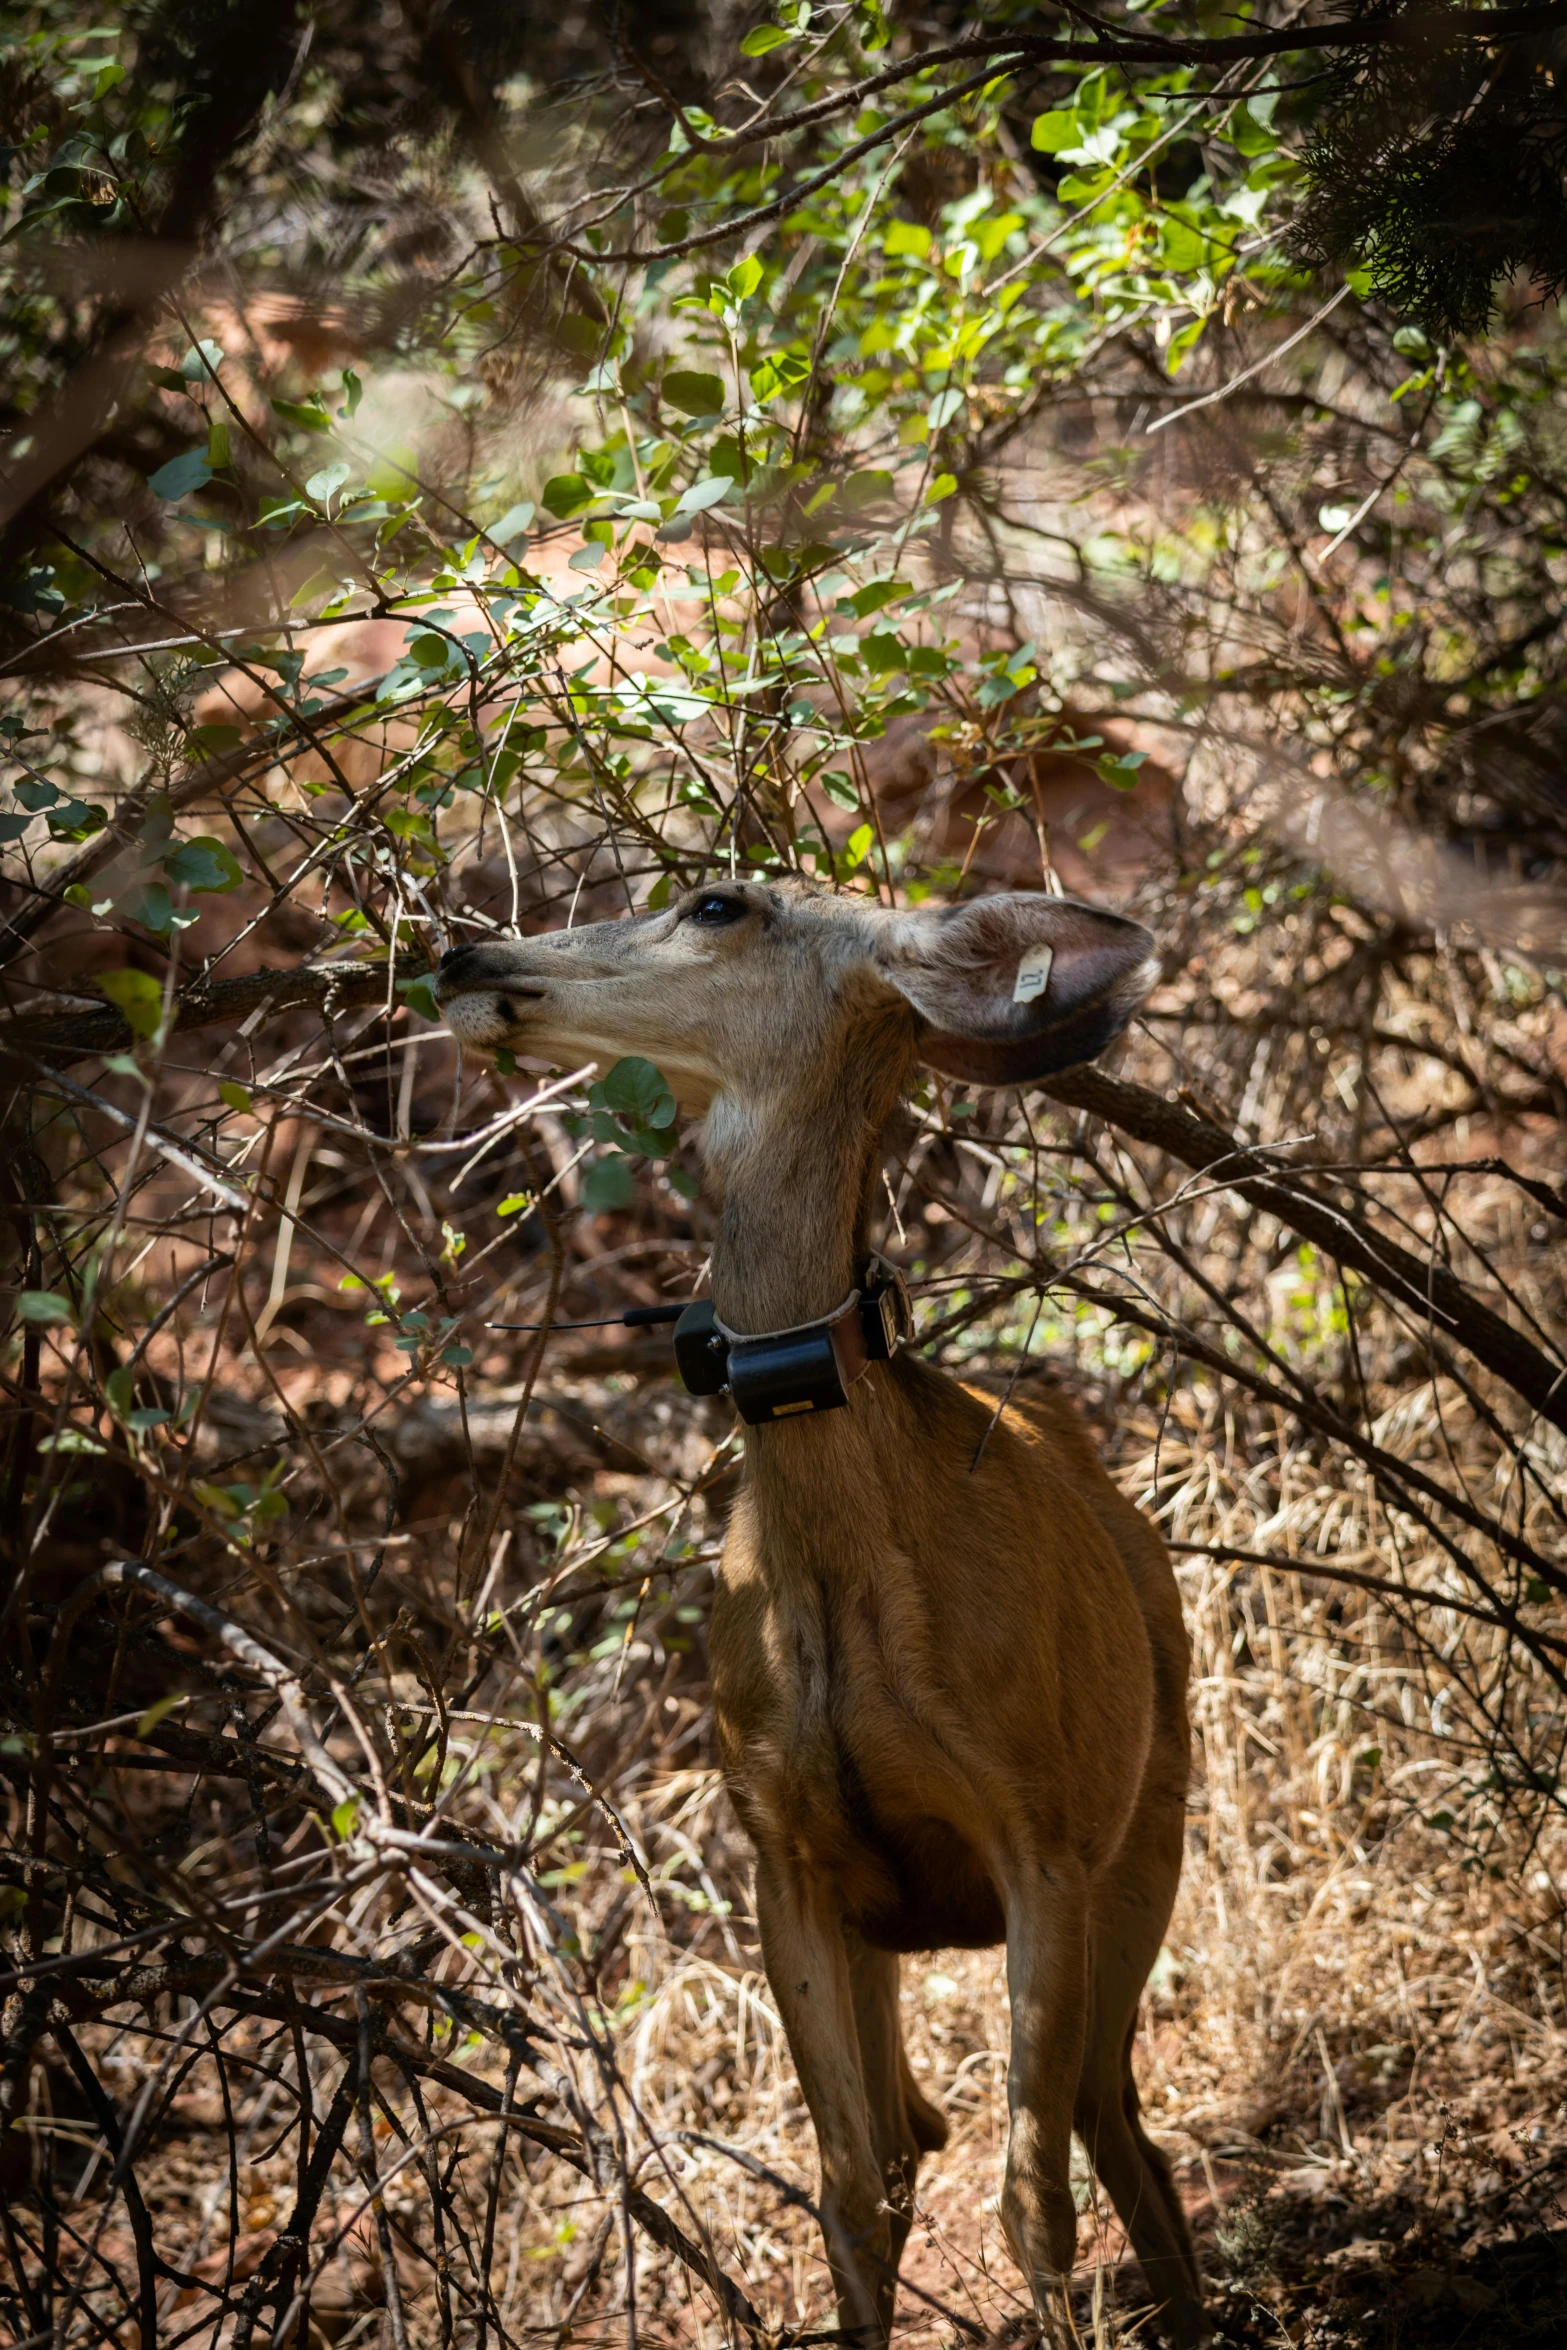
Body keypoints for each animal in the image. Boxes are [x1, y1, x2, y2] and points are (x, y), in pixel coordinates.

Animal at [434, 883, 1212, 2350]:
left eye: (717, 901)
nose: (465, 951)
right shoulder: (779, 1847)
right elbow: (851, 2184)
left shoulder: (1040, 1830)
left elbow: (1031, 2201)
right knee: (935, 2131)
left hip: (1148, 1827)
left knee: (1106, 2115)